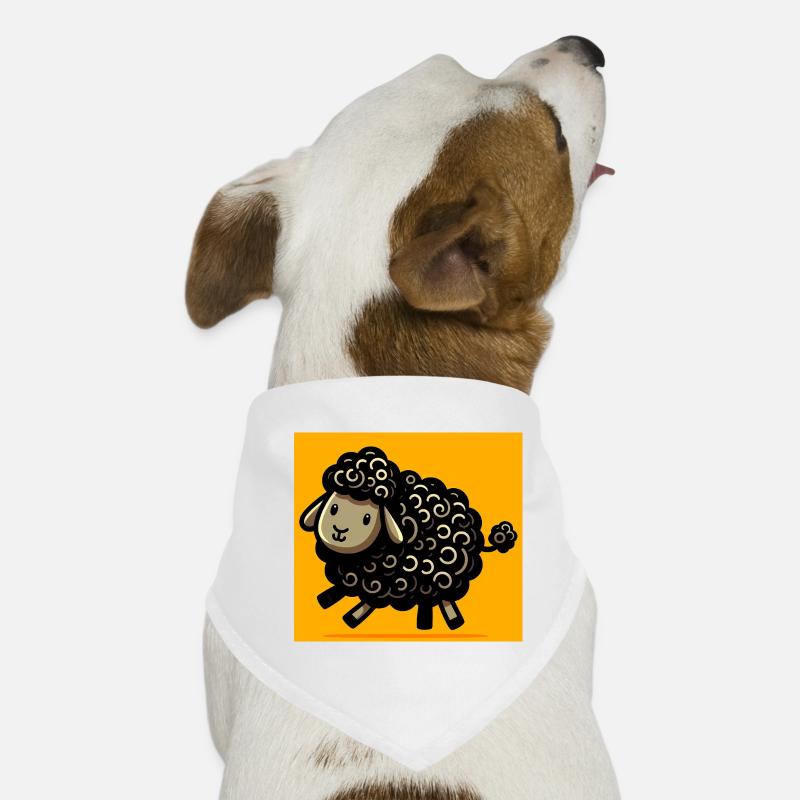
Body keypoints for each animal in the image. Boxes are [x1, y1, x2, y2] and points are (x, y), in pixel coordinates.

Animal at [299, 445, 518, 630]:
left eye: (367, 518)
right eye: (334, 508)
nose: (339, 531)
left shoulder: (383, 583)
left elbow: (368, 602)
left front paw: (353, 616)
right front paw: (328, 599)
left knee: (443, 598)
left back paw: (442, 621)